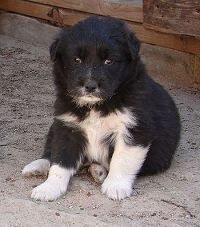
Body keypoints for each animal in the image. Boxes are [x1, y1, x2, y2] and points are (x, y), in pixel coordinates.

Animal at [22, 16, 181, 200]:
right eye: (77, 60)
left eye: (109, 61)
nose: (90, 86)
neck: (96, 105)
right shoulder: (67, 126)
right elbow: (60, 161)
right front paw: (49, 187)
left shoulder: (134, 128)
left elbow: (122, 159)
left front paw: (116, 186)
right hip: (54, 127)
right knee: (50, 152)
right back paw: (37, 166)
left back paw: (99, 171)